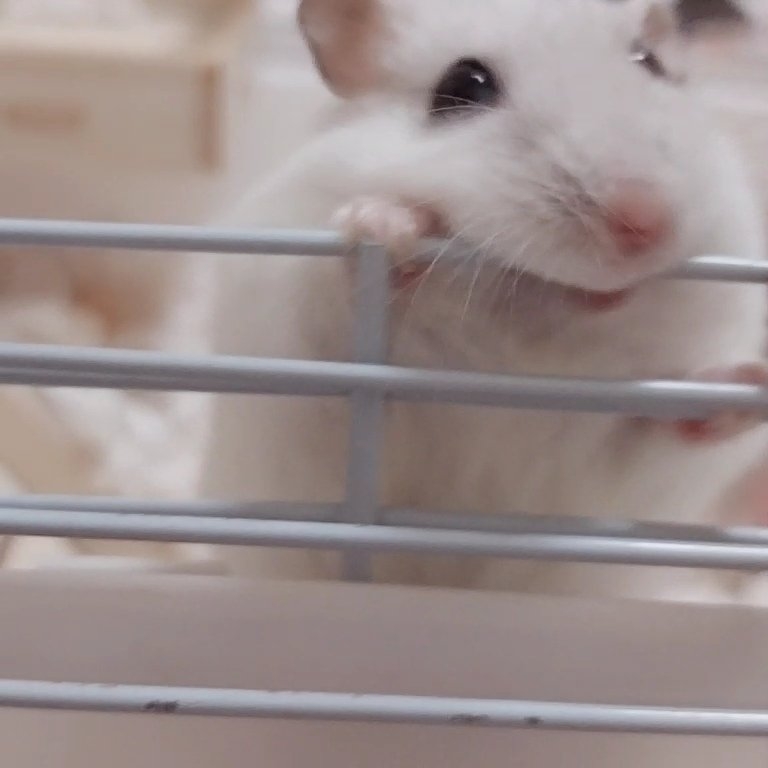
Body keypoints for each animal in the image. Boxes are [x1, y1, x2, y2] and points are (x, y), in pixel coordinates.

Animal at [201, 0, 768, 598]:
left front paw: (751, 383)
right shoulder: (307, 345)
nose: (645, 224)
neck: (533, 328)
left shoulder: (629, 457)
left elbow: (679, 424)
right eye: (462, 86)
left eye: (650, 63)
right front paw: (387, 222)